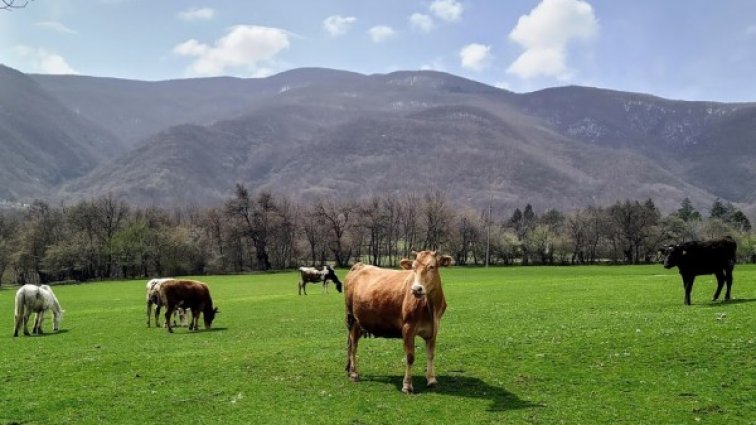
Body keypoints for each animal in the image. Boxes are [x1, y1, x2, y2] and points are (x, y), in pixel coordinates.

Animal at [346, 250, 452, 392]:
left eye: (432, 267)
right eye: (413, 268)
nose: (416, 289)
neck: (430, 308)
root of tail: (360, 265)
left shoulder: (434, 329)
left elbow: (431, 354)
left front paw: (431, 379)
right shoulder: (408, 328)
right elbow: (410, 357)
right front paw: (407, 385)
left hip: (359, 322)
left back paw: (349, 370)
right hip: (351, 318)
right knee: (353, 346)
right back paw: (353, 373)